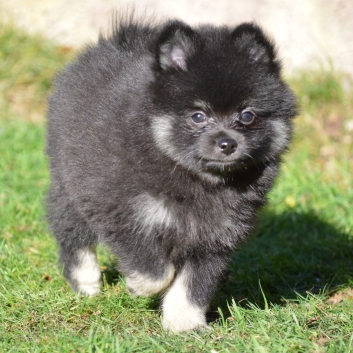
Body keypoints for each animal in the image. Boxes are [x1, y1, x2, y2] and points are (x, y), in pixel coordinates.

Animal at [45, 15, 296, 332]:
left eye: (247, 115)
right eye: (197, 116)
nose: (228, 143)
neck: (198, 180)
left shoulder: (216, 237)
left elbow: (193, 285)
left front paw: (183, 324)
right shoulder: (124, 213)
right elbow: (156, 271)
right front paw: (138, 287)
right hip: (71, 186)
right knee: (72, 235)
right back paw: (86, 281)